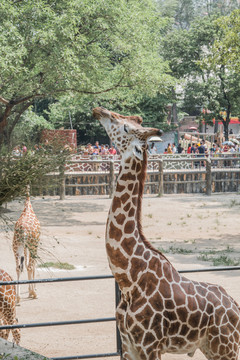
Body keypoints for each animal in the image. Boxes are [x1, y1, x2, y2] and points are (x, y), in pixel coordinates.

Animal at [93, 107, 240, 360]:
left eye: (125, 127)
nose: (99, 110)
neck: (129, 278)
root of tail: (236, 309)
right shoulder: (129, 345)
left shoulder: (149, 344)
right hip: (211, 347)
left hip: (225, 347)